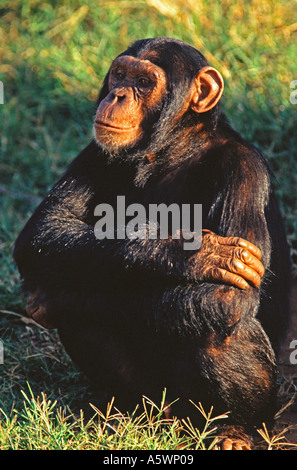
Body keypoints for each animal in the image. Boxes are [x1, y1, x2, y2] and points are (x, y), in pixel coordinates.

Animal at [13, 36, 290, 448]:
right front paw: (196, 253)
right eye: (120, 74)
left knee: (221, 327)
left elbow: (227, 297)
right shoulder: (95, 151)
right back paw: (127, 414)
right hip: (154, 397)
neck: (172, 150)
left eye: (144, 82)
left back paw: (233, 430)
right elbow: (45, 231)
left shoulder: (244, 170)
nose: (118, 94)